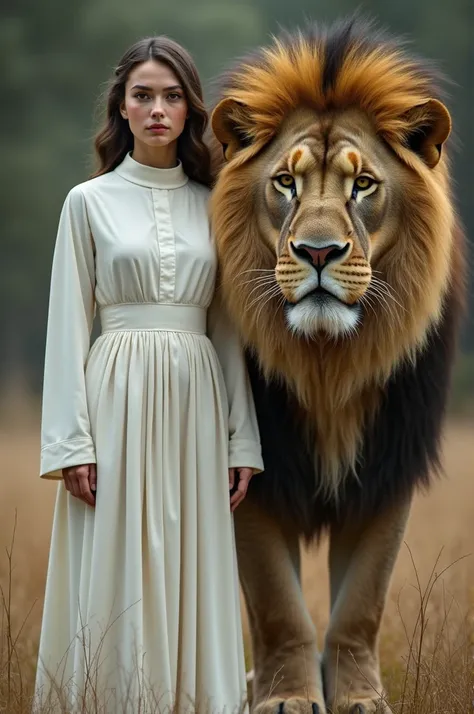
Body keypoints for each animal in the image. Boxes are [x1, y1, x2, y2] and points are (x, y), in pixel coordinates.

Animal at [208, 15, 466, 712]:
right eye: (286, 182)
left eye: (363, 185)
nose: (318, 252)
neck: (329, 363)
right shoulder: (257, 473)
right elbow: (278, 605)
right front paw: (286, 698)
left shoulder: (389, 463)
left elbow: (360, 606)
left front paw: (361, 699)